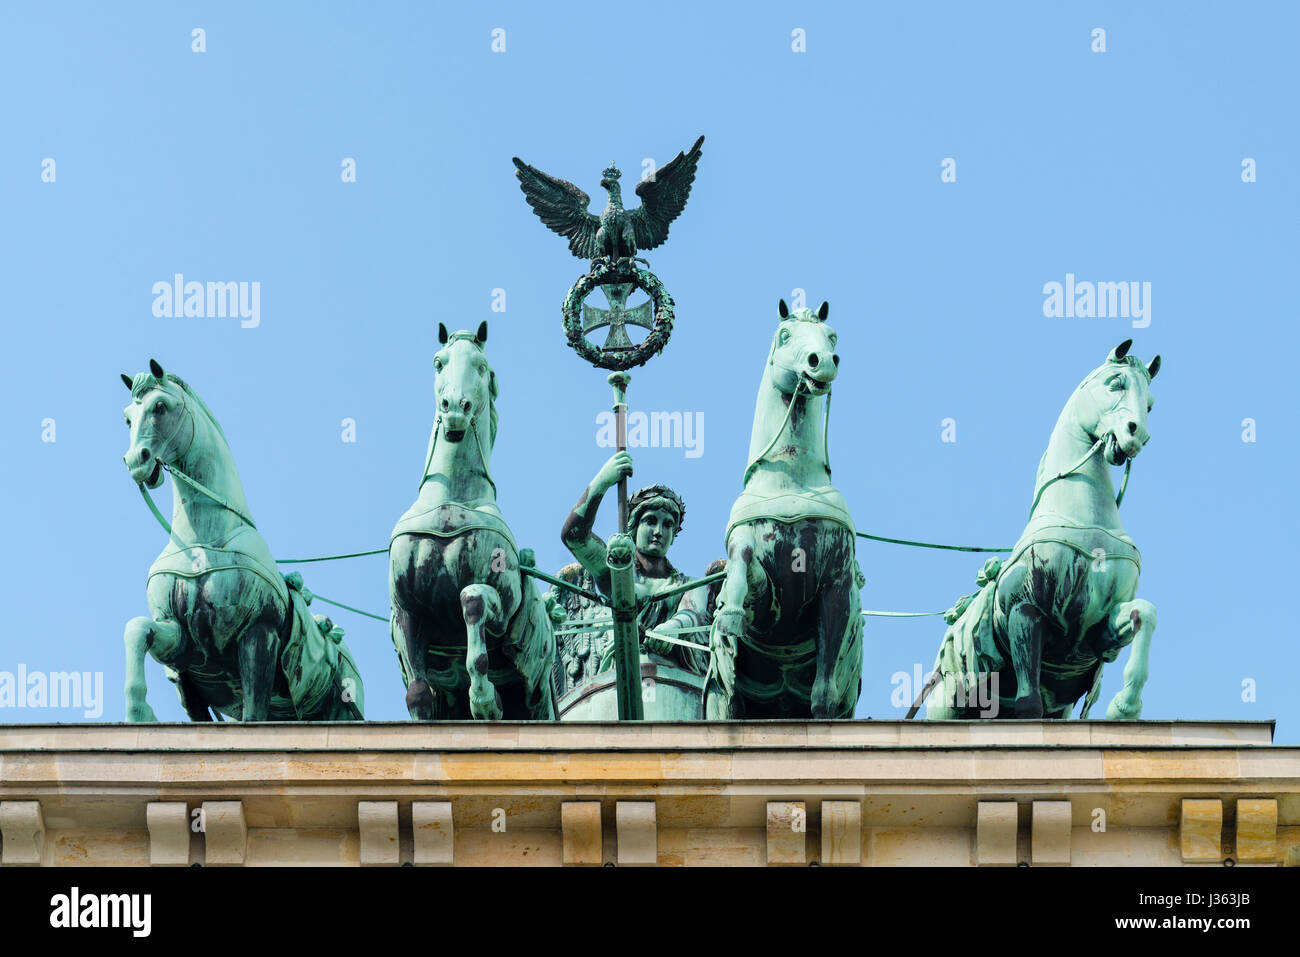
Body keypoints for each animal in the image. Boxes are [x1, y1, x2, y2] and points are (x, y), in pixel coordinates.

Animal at [122, 361, 366, 722]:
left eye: (160, 406)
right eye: (128, 417)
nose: (136, 461)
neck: (202, 541)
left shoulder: (257, 634)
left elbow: (253, 715)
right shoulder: (182, 645)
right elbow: (138, 629)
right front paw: (139, 711)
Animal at [382, 321, 551, 717]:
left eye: (481, 366)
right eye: (438, 362)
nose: (456, 408)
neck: (452, 500)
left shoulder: (503, 606)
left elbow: (471, 600)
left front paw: (484, 700)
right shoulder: (407, 611)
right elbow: (418, 693)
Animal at [702, 300, 863, 717]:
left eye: (832, 336)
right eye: (785, 336)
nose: (822, 361)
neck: (791, 481)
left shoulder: (836, 586)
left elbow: (823, 694)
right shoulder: (765, 596)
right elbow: (742, 565)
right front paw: (728, 614)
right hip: (724, 698)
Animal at [930, 340, 1164, 722]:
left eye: (1150, 404)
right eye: (1115, 383)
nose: (1136, 435)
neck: (1085, 520)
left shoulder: (1097, 631)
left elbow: (1144, 612)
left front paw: (1125, 706)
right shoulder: (1024, 611)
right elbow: (1029, 705)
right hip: (947, 703)